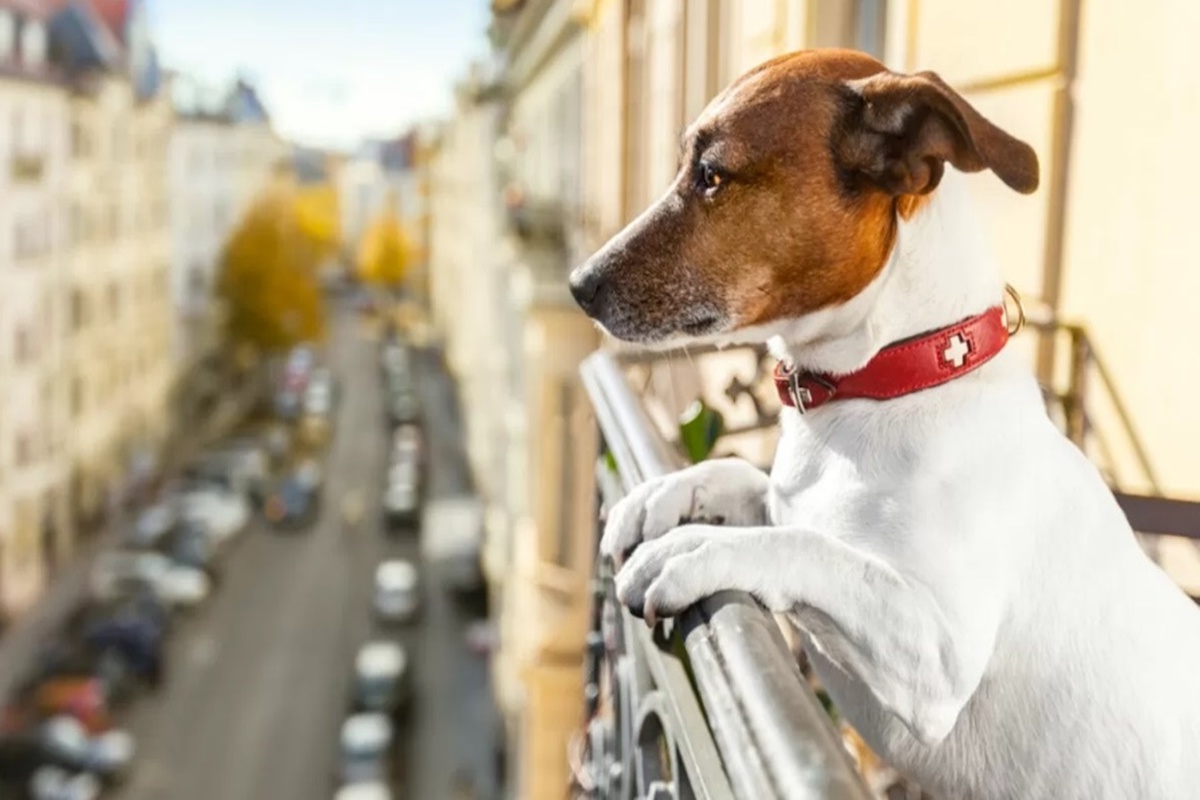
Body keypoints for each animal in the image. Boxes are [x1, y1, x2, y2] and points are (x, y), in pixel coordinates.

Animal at [566, 50, 1195, 800]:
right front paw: (665, 495)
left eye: (712, 175)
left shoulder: (939, 654)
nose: (577, 284)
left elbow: (812, 550)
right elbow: (753, 483)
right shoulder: (791, 497)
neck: (886, 381)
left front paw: (694, 548)